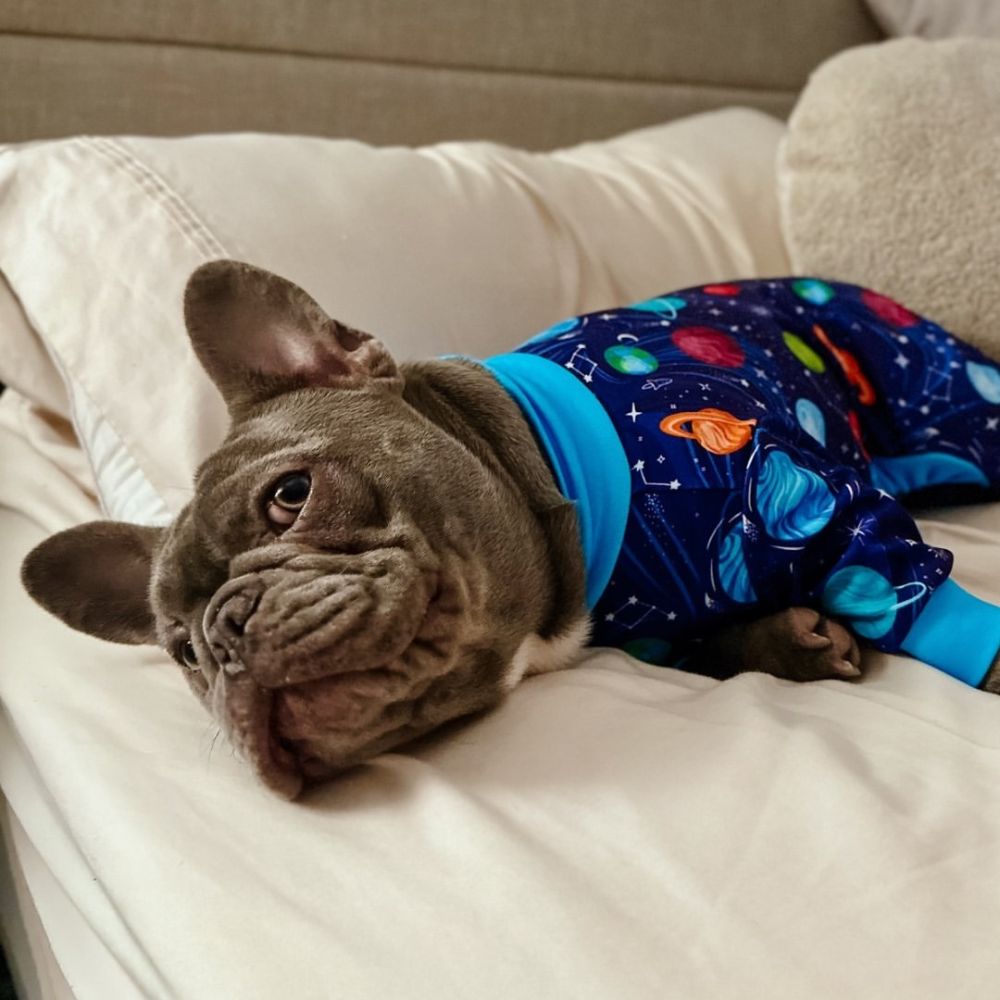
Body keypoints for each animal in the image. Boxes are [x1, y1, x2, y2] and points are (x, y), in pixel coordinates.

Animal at [19, 264, 1000, 796]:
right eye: (182, 654)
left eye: (290, 494)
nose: (225, 636)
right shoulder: (660, 636)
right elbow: (722, 643)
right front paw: (793, 638)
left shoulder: (828, 504)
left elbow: (909, 585)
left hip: (945, 395)